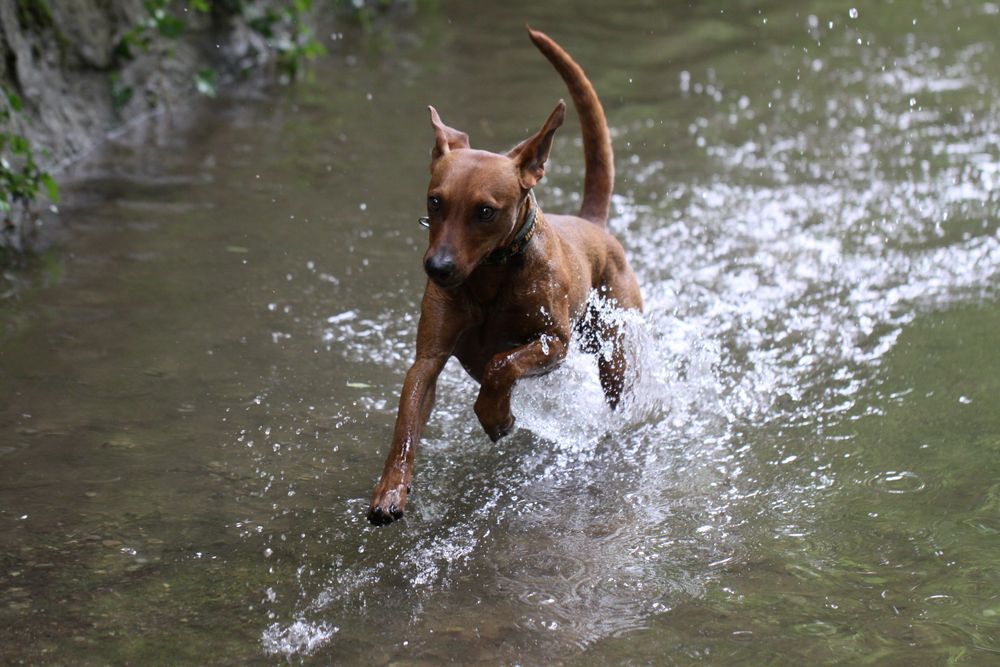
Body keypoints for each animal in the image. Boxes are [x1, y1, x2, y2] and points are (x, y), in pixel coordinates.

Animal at [368, 28, 640, 524]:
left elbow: (501, 363)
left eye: (485, 212)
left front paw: (496, 416)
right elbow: (406, 423)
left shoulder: (555, 341)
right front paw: (390, 491)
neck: (490, 276)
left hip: (612, 347)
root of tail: (590, 222)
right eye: (434, 201)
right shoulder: (428, 358)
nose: (437, 269)